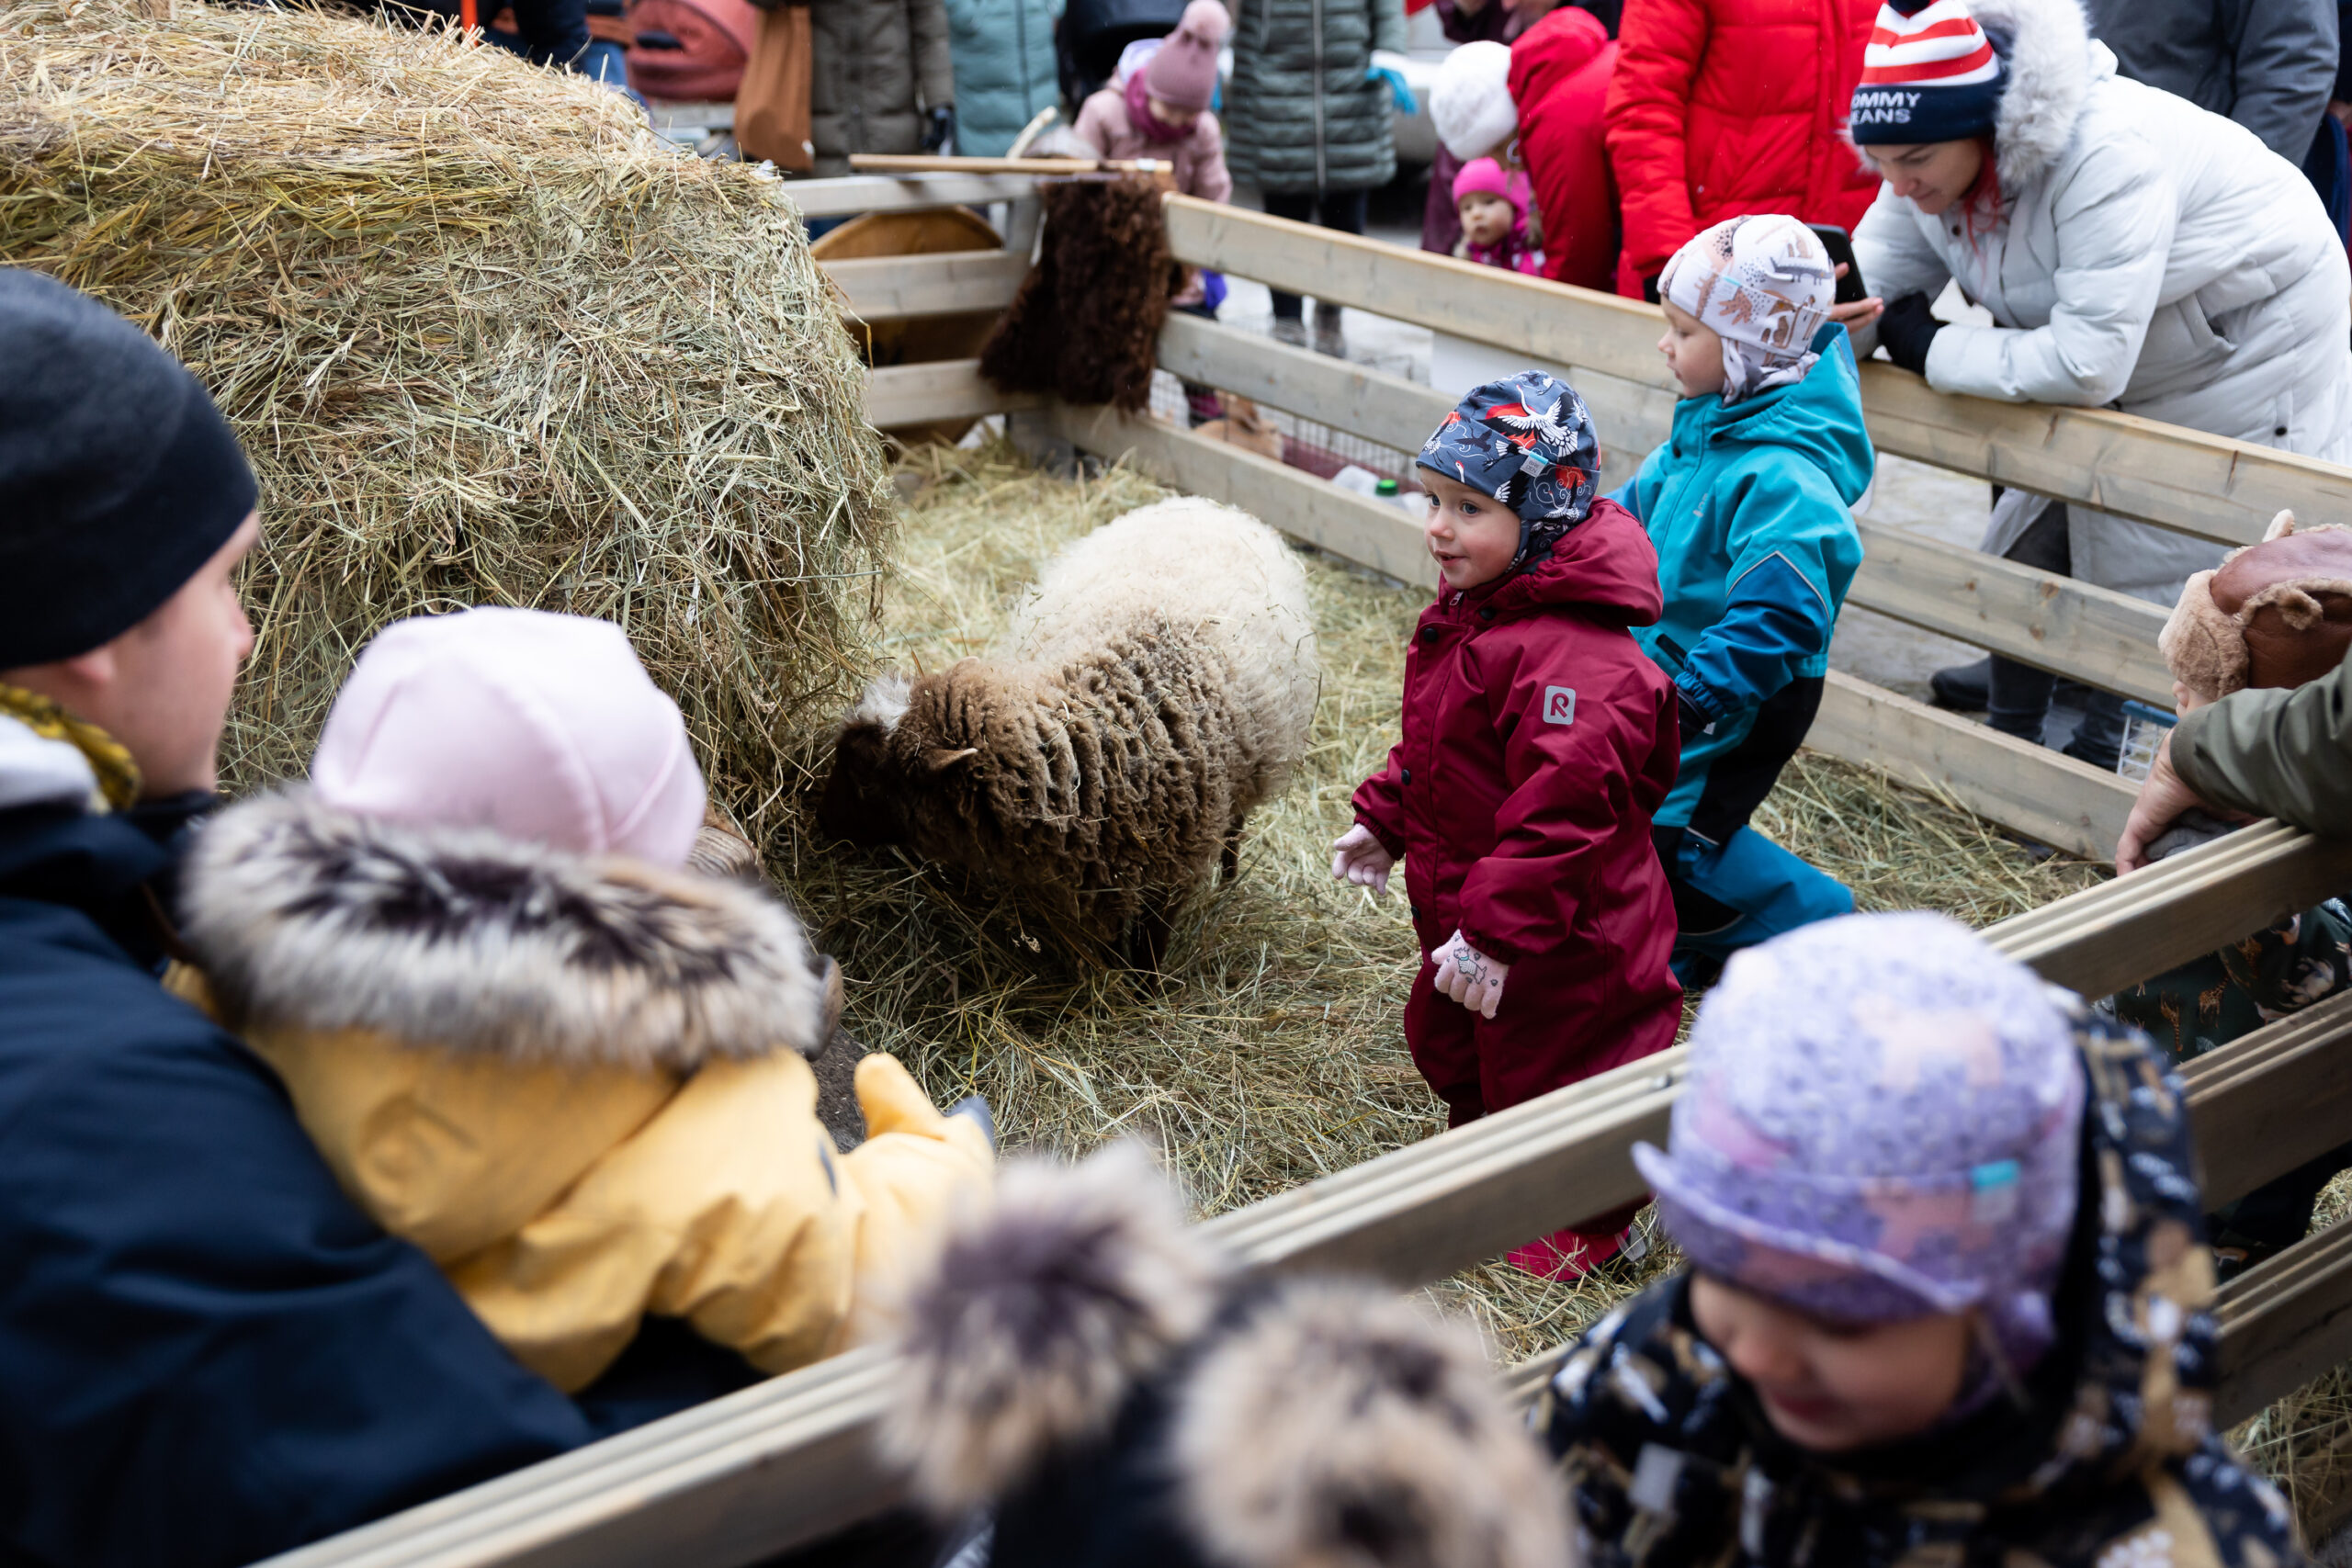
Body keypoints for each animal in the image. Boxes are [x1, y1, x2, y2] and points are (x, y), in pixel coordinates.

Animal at [818, 495, 1317, 964]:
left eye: (866, 778)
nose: (819, 821)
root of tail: (1204, 505)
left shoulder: (1171, 878)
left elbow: (1150, 950)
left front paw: (1142, 989)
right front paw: (1112, 969)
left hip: (1254, 768)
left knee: (1235, 826)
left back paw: (1228, 880)